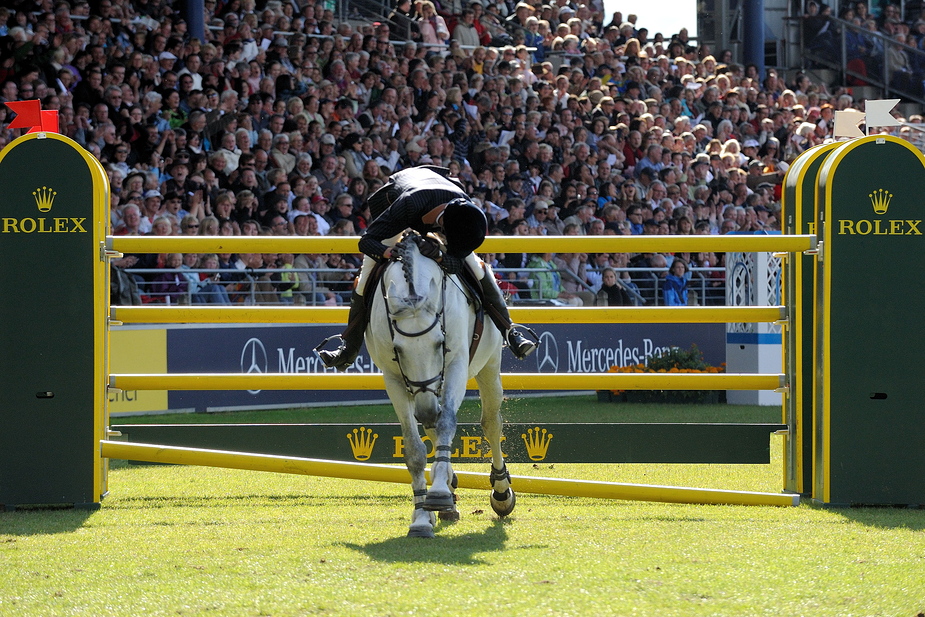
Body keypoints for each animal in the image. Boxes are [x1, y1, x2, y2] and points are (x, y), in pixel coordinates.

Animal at [364, 230, 516, 536]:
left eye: (440, 343)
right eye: (398, 350)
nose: (424, 409)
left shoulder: (455, 365)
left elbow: (446, 423)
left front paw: (438, 495)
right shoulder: (394, 378)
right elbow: (415, 449)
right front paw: (422, 516)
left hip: (489, 364)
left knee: (490, 424)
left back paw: (501, 493)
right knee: (433, 426)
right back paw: (447, 490)